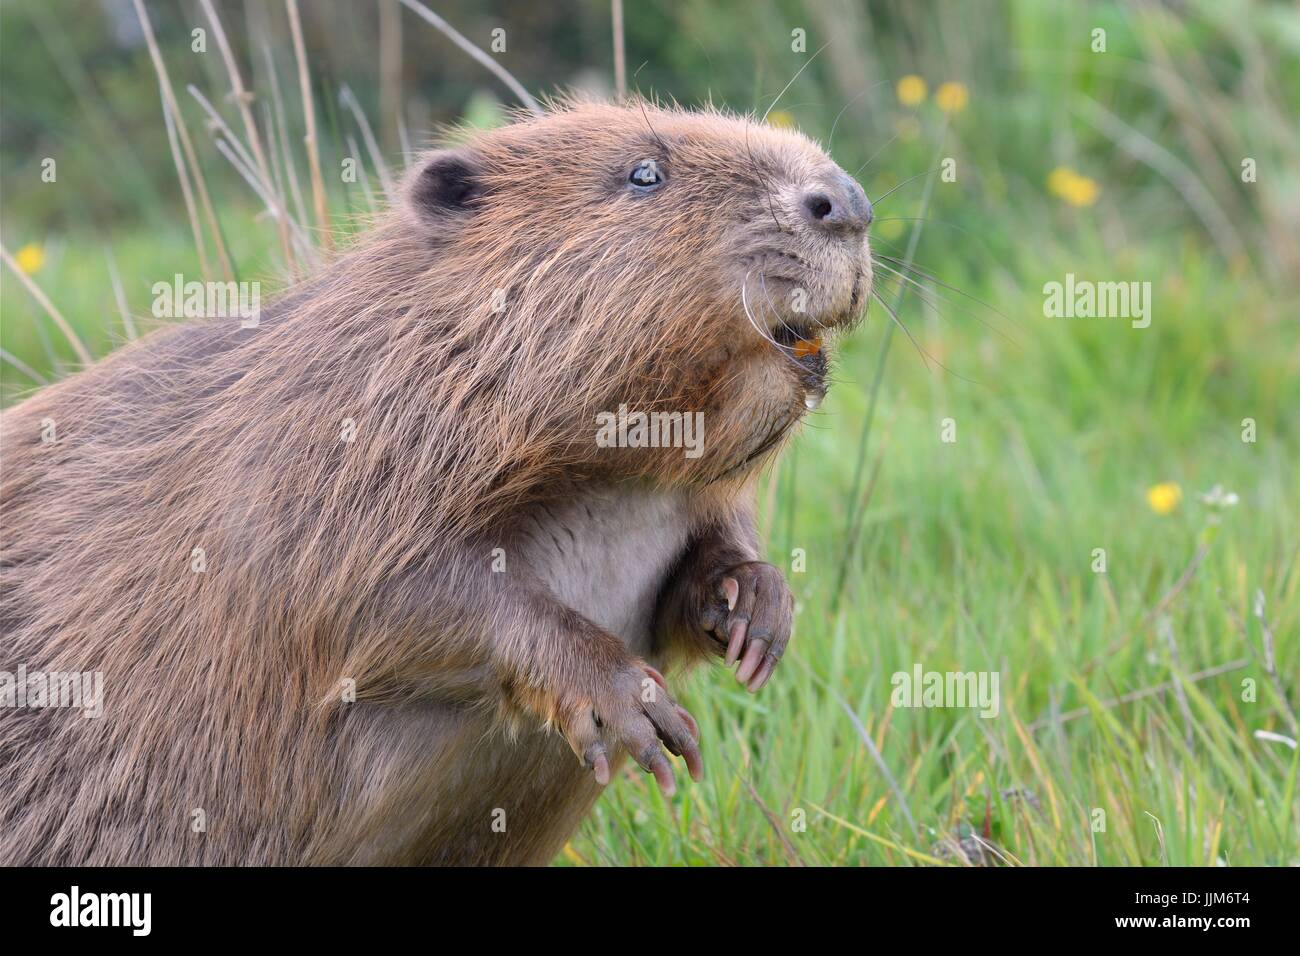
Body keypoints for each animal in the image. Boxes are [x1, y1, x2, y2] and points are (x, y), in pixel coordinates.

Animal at [5, 98, 873, 868]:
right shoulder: (306, 463)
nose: (847, 201)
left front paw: (757, 611)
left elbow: (697, 569)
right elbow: (382, 598)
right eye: (645, 173)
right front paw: (641, 711)